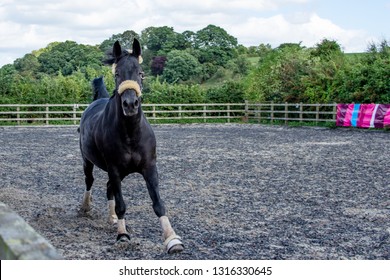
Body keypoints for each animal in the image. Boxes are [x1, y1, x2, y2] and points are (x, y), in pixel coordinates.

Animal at [79, 39, 184, 254]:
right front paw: (123, 235)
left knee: (108, 187)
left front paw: (172, 239)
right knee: (89, 181)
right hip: (88, 161)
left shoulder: (149, 168)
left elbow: (158, 203)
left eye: (141, 73)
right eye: (117, 74)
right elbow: (121, 204)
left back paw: (111, 218)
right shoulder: (115, 170)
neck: (130, 133)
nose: (130, 104)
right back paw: (85, 208)